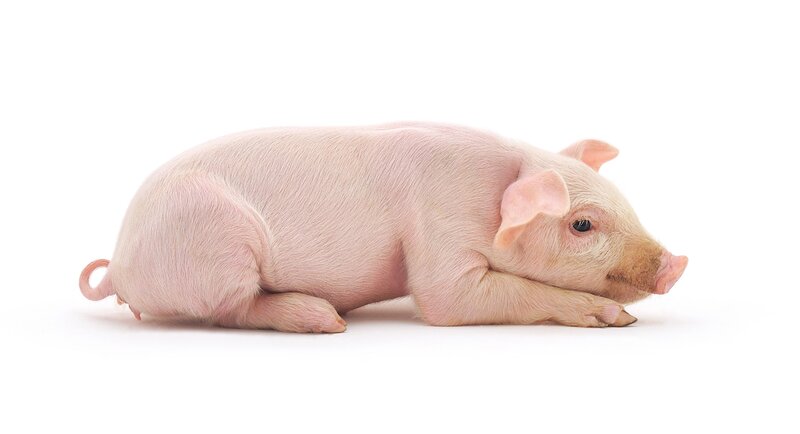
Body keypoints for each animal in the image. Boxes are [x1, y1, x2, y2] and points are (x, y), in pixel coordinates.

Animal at [79, 122, 687, 332]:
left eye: (627, 204)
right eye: (582, 224)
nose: (677, 264)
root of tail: (121, 268)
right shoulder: (436, 234)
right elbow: (446, 300)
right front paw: (616, 319)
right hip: (217, 248)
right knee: (232, 309)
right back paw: (327, 320)